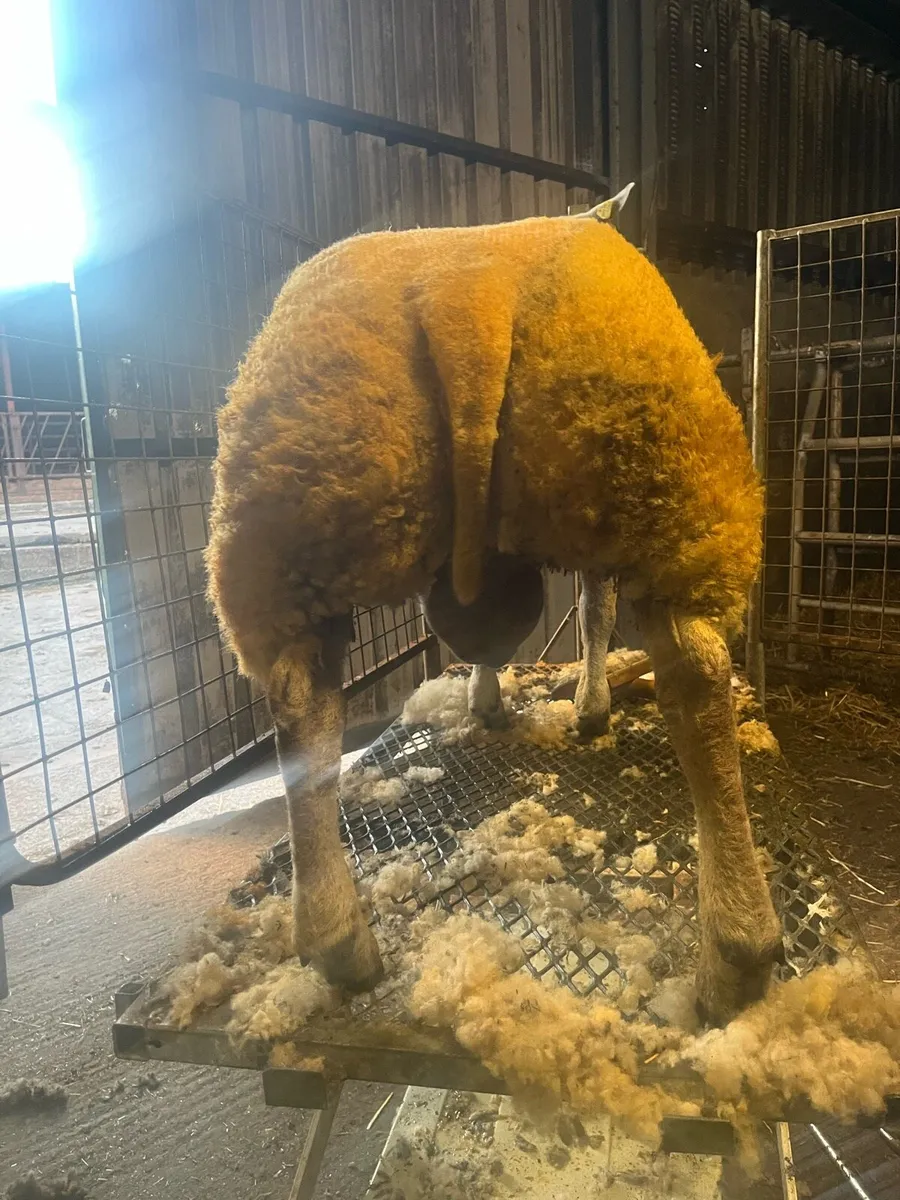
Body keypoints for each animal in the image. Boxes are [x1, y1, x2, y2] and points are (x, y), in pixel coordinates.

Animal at [205, 186, 779, 1025]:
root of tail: (466, 290)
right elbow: (595, 615)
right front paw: (588, 708)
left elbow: (481, 635)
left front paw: (492, 702)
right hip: (668, 488)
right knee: (697, 672)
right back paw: (736, 959)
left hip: (289, 530)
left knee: (300, 700)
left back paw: (340, 944)